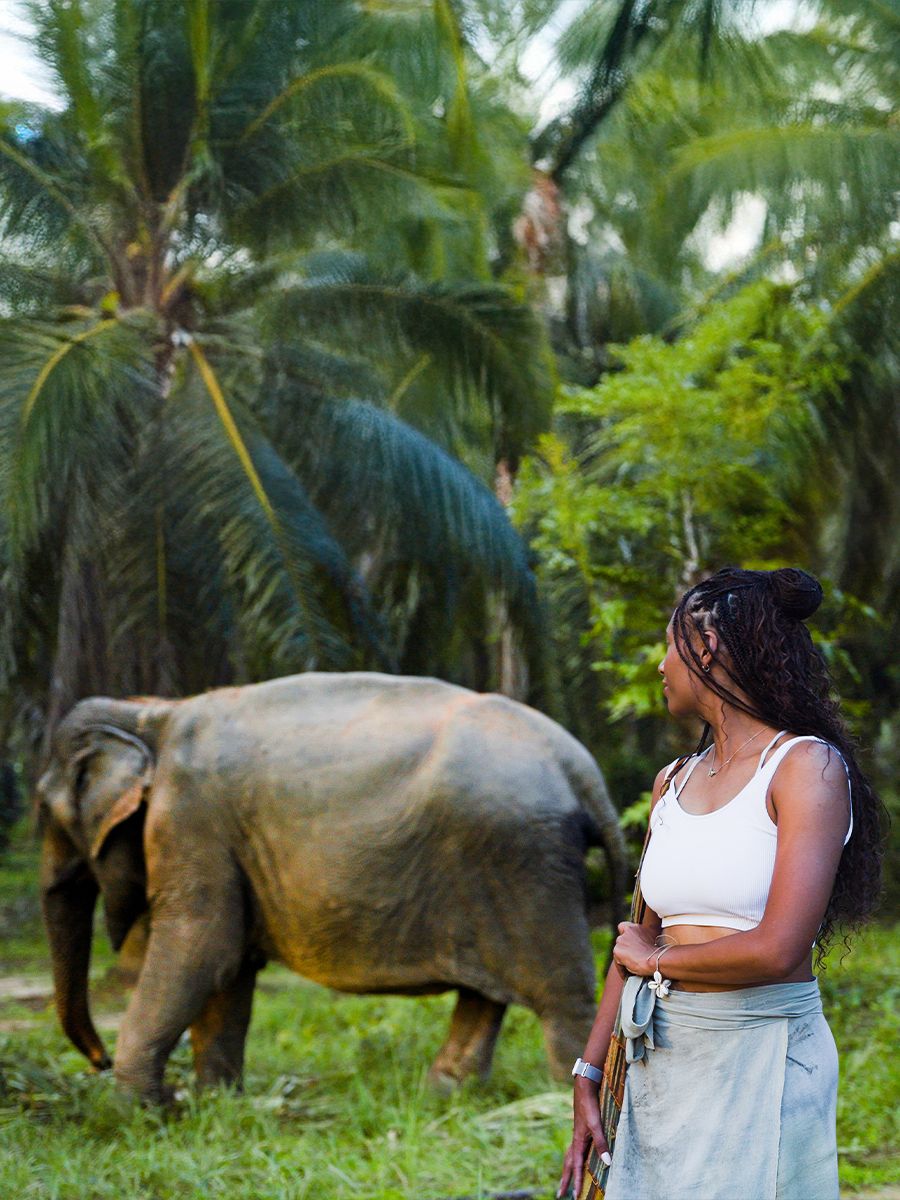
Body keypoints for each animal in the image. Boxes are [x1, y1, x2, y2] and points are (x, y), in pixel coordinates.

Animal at [37, 671, 627, 1103]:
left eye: (48, 813)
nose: (97, 1060)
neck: (149, 712)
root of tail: (580, 766)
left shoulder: (189, 820)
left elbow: (200, 948)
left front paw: (143, 1113)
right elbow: (229, 970)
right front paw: (218, 1105)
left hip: (523, 857)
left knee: (561, 995)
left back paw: (555, 1099)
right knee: (485, 993)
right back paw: (443, 1097)